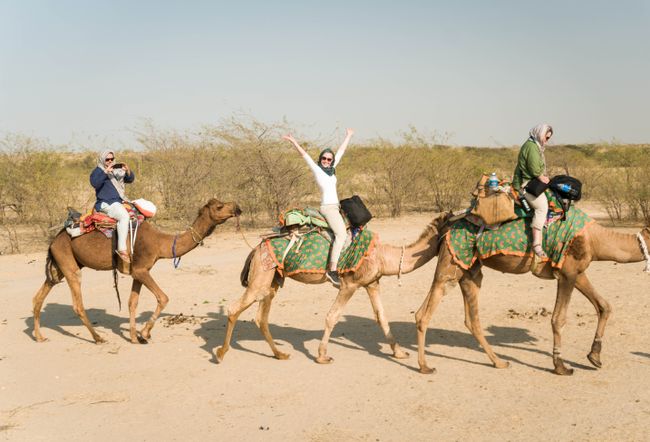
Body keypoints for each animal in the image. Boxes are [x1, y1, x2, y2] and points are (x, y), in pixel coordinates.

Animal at [31, 199, 240, 344]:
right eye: (219, 206)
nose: (237, 208)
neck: (161, 244)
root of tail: (53, 241)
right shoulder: (141, 270)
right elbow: (163, 298)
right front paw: (145, 333)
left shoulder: (138, 272)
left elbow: (133, 303)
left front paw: (133, 337)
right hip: (69, 264)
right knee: (77, 304)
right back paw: (98, 338)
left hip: (59, 266)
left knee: (39, 297)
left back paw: (40, 337)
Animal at [215, 213, 448, 362]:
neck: (382, 255)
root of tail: (256, 249)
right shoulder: (349, 284)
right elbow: (332, 316)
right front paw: (321, 355)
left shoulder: (371, 283)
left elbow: (381, 316)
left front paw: (399, 353)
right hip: (260, 276)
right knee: (234, 308)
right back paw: (220, 353)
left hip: (272, 280)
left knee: (260, 317)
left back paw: (279, 354)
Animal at [416, 223, 648, 374]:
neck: (595, 239)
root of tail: (446, 229)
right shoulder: (568, 272)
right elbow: (558, 319)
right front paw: (560, 366)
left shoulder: (577, 272)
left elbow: (604, 306)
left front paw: (595, 357)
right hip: (451, 263)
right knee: (425, 314)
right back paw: (425, 366)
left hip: (468, 270)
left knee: (465, 318)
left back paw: (499, 362)